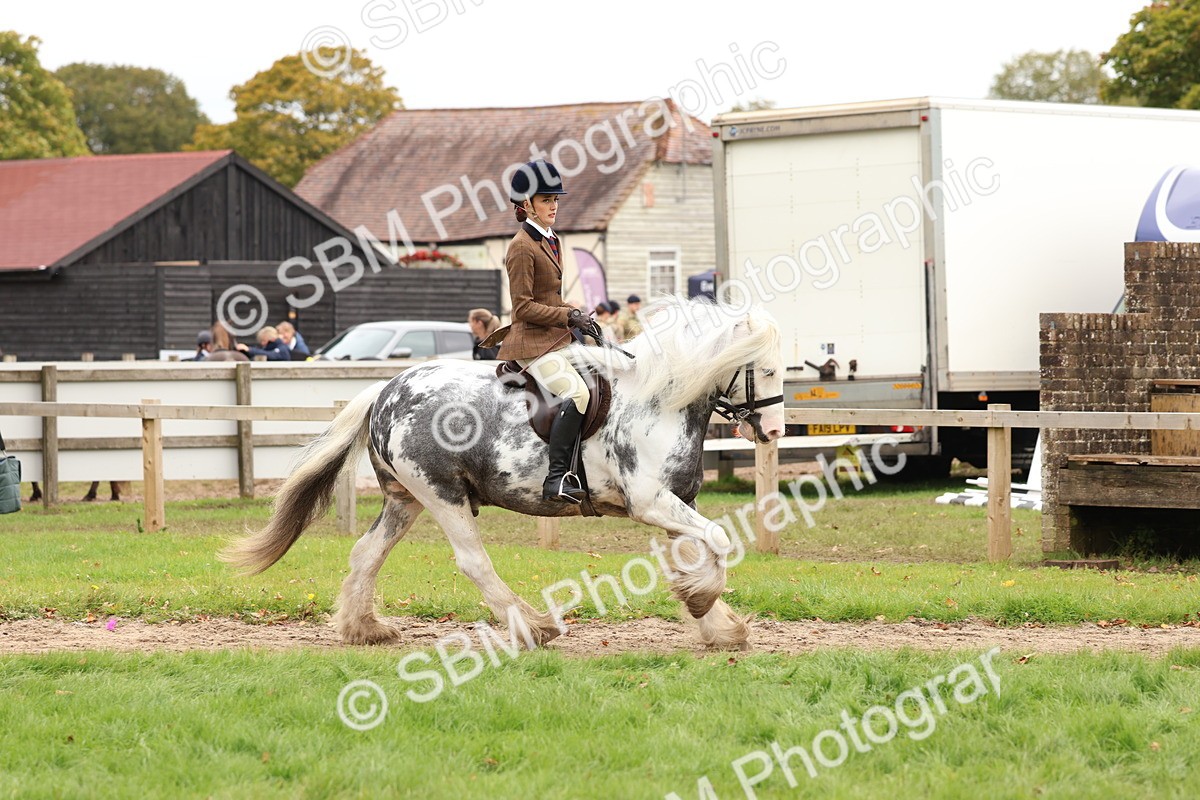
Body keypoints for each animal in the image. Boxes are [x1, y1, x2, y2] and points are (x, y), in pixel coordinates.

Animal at [221, 297, 785, 650]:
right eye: (768, 369)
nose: (776, 430)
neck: (657, 401)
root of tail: (385, 391)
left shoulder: (678, 503)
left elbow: (700, 551)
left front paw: (715, 624)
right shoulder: (650, 502)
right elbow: (719, 540)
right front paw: (705, 602)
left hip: (405, 500)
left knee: (366, 552)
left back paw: (365, 629)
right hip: (442, 494)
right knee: (474, 562)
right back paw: (533, 627)